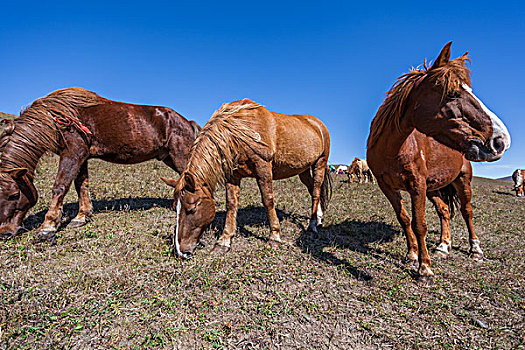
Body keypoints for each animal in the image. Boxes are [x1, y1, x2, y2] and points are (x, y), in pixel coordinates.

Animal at [0, 87, 201, 242]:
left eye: (14, 195)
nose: (5, 233)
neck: (56, 119)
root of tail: (187, 122)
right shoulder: (81, 157)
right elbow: (81, 185)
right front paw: (82, 216)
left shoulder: (72, 154)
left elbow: (60, 186)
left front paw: (48, 226)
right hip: (169, 158)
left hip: (180, 156)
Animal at [162, 98, 330, 258]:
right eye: (174, 208)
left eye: (191, 209)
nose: (181, 251)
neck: (241, 129)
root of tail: (318, 124)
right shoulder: (232, 175)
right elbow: (231, 204)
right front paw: (224, 241)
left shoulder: (263, 166)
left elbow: (268, 200)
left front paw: (274, 237)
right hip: (303, 169)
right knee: (312, 189)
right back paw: (319, 218)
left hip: (320, 163)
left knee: (316, 192)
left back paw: (312, 225)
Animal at [366, 41, 510, 284]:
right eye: (452, 93)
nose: (501, 141)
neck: (393, 149)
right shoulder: (388, 186)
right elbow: (405, 219)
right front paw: (412, 254)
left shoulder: (417, 185)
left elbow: (419, 225)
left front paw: (424, 268)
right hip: (434, 187)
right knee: (444, 211)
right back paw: (443, 246)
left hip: (462, 181)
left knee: (467, 212)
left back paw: (475, 249)